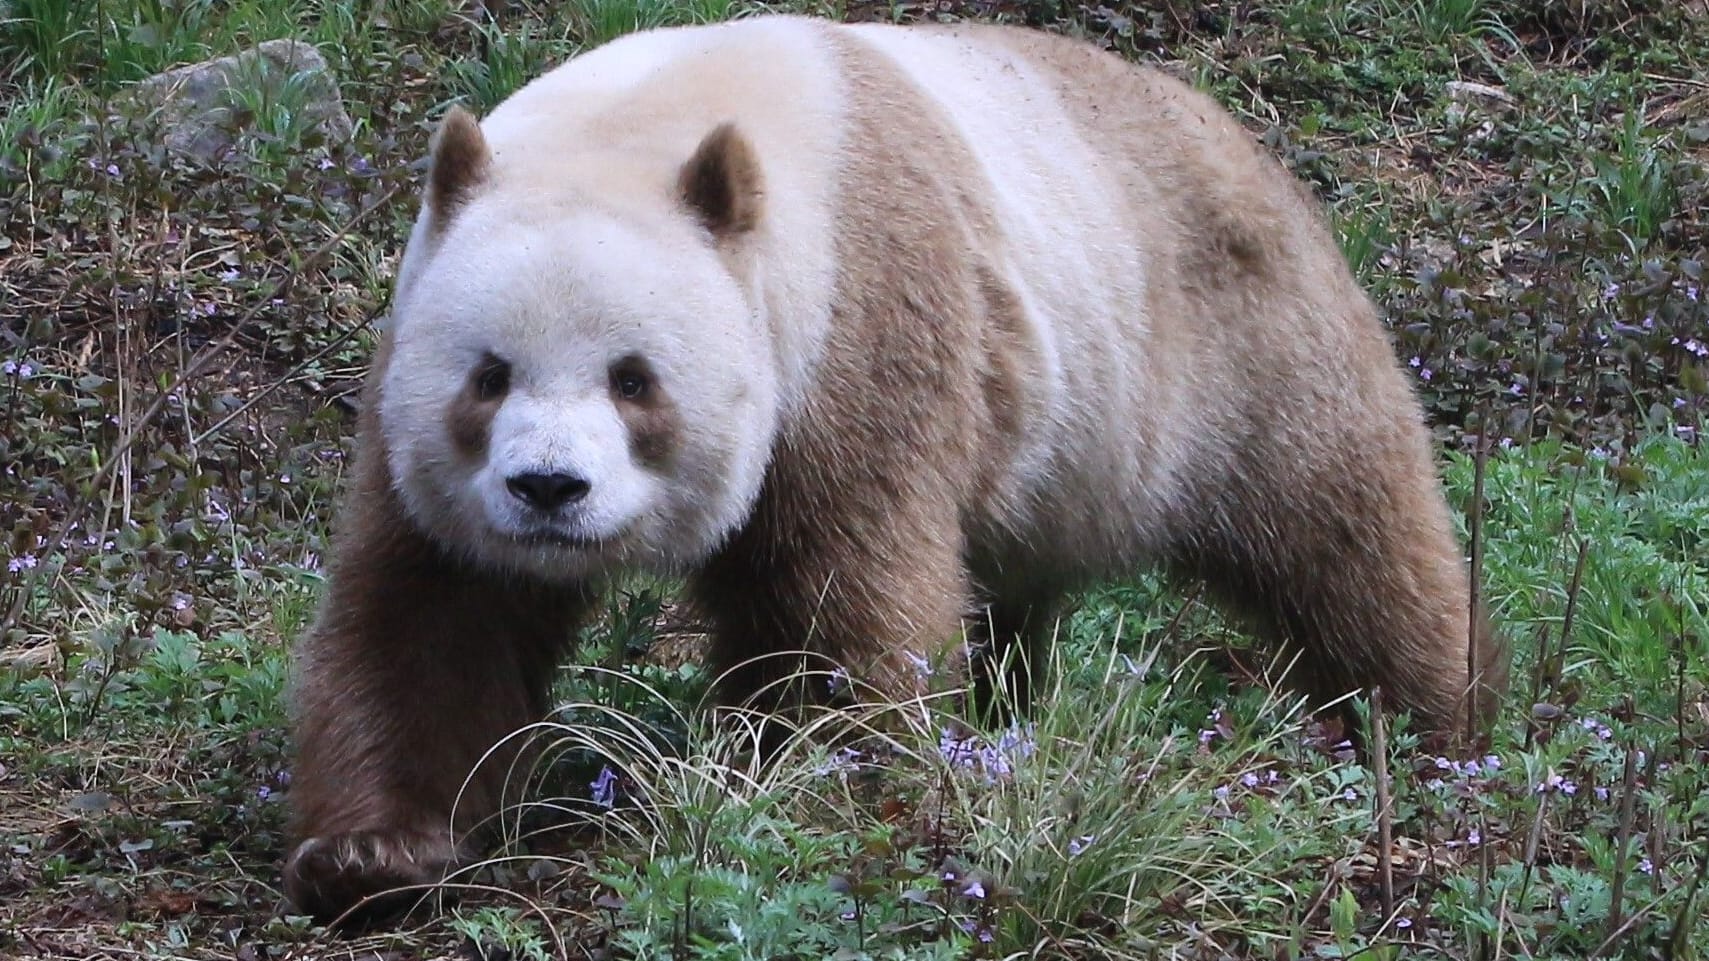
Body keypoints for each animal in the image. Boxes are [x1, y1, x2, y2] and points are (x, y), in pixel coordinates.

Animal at [283, 13, 1510, 923]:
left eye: (634, 380)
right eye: (488, 376)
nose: (547, 490)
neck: (656, 123)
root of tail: (1231, 127)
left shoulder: (855, 323)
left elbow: (839, 601)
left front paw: (807, 791)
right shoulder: (412, 383)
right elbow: (433, 610)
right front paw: (375, 855)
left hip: (1223, 343)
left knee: (1340, 528)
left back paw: (1435, 728)